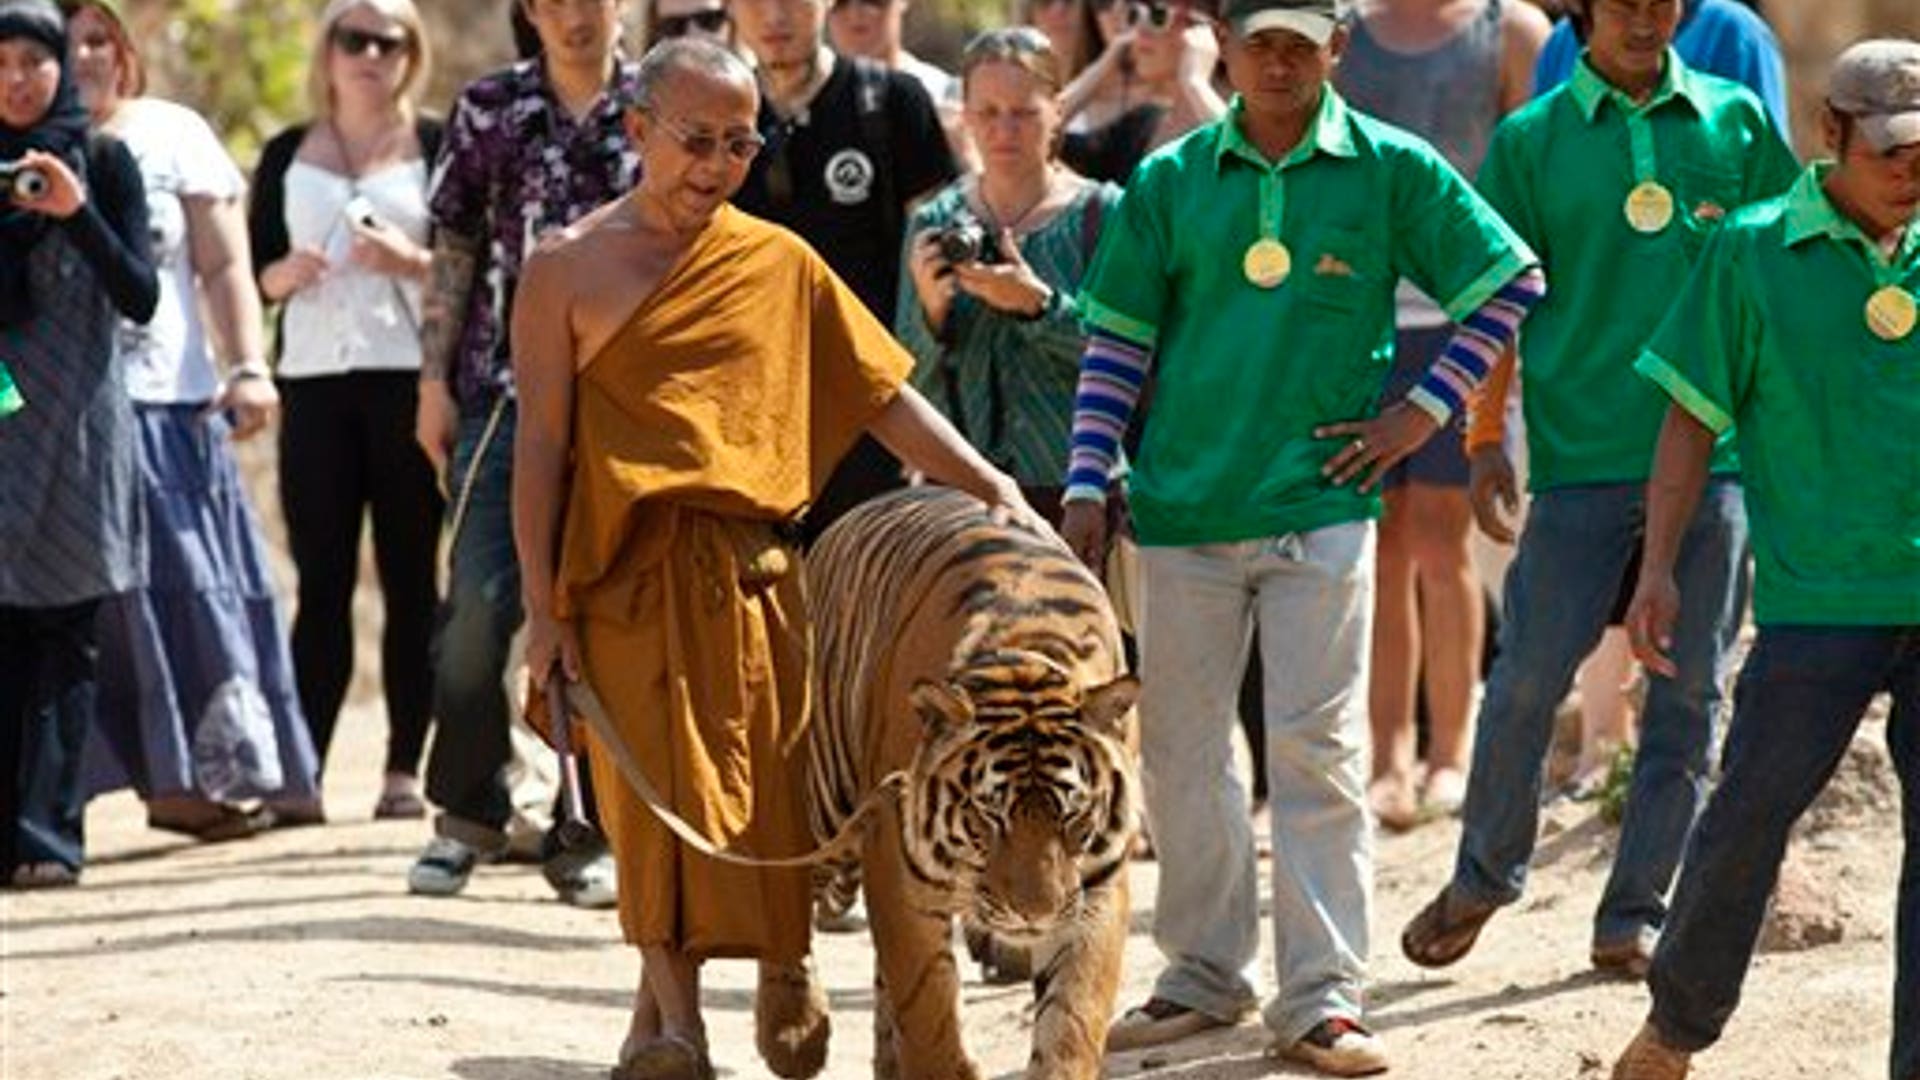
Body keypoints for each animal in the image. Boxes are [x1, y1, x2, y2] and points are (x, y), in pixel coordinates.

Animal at [805, 485, 1141, 1080]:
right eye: (990, 817)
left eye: (1073, 816)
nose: (1036, 917)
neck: (1028, 656)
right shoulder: (898, 862)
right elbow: (928, 1007)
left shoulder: (1098, 879)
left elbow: (1073, 1017)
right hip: (825, 805)